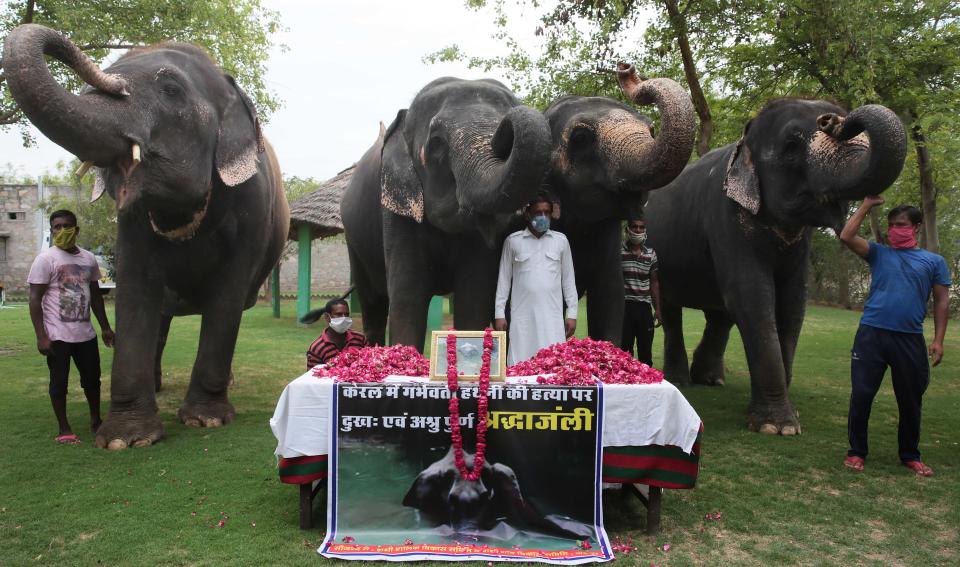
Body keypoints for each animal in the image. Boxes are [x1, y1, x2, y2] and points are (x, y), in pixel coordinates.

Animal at [2, 24, 288, 450]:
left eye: (170, 89)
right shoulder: (131, 221)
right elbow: (135, 290)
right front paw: (125, 440)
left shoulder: (253, 212)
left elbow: (227, 298)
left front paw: (206, 420)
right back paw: (155, 386)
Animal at [340, 76, 552, 350]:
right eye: (437, 144)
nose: (508, 124)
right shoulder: (396, 209)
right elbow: (408, 296)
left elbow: (474, 296)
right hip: (354, 243)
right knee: (373, 303)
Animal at [644, 97, 908, 434]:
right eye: (791, 146)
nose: (832, 120)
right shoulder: (724, 217)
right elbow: (752, 296)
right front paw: (777, 427)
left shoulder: (799, 242)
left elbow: (793, 302)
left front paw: (788, 417)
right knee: (673, 311)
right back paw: (680, 381)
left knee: (720, 315)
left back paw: (711, 380)